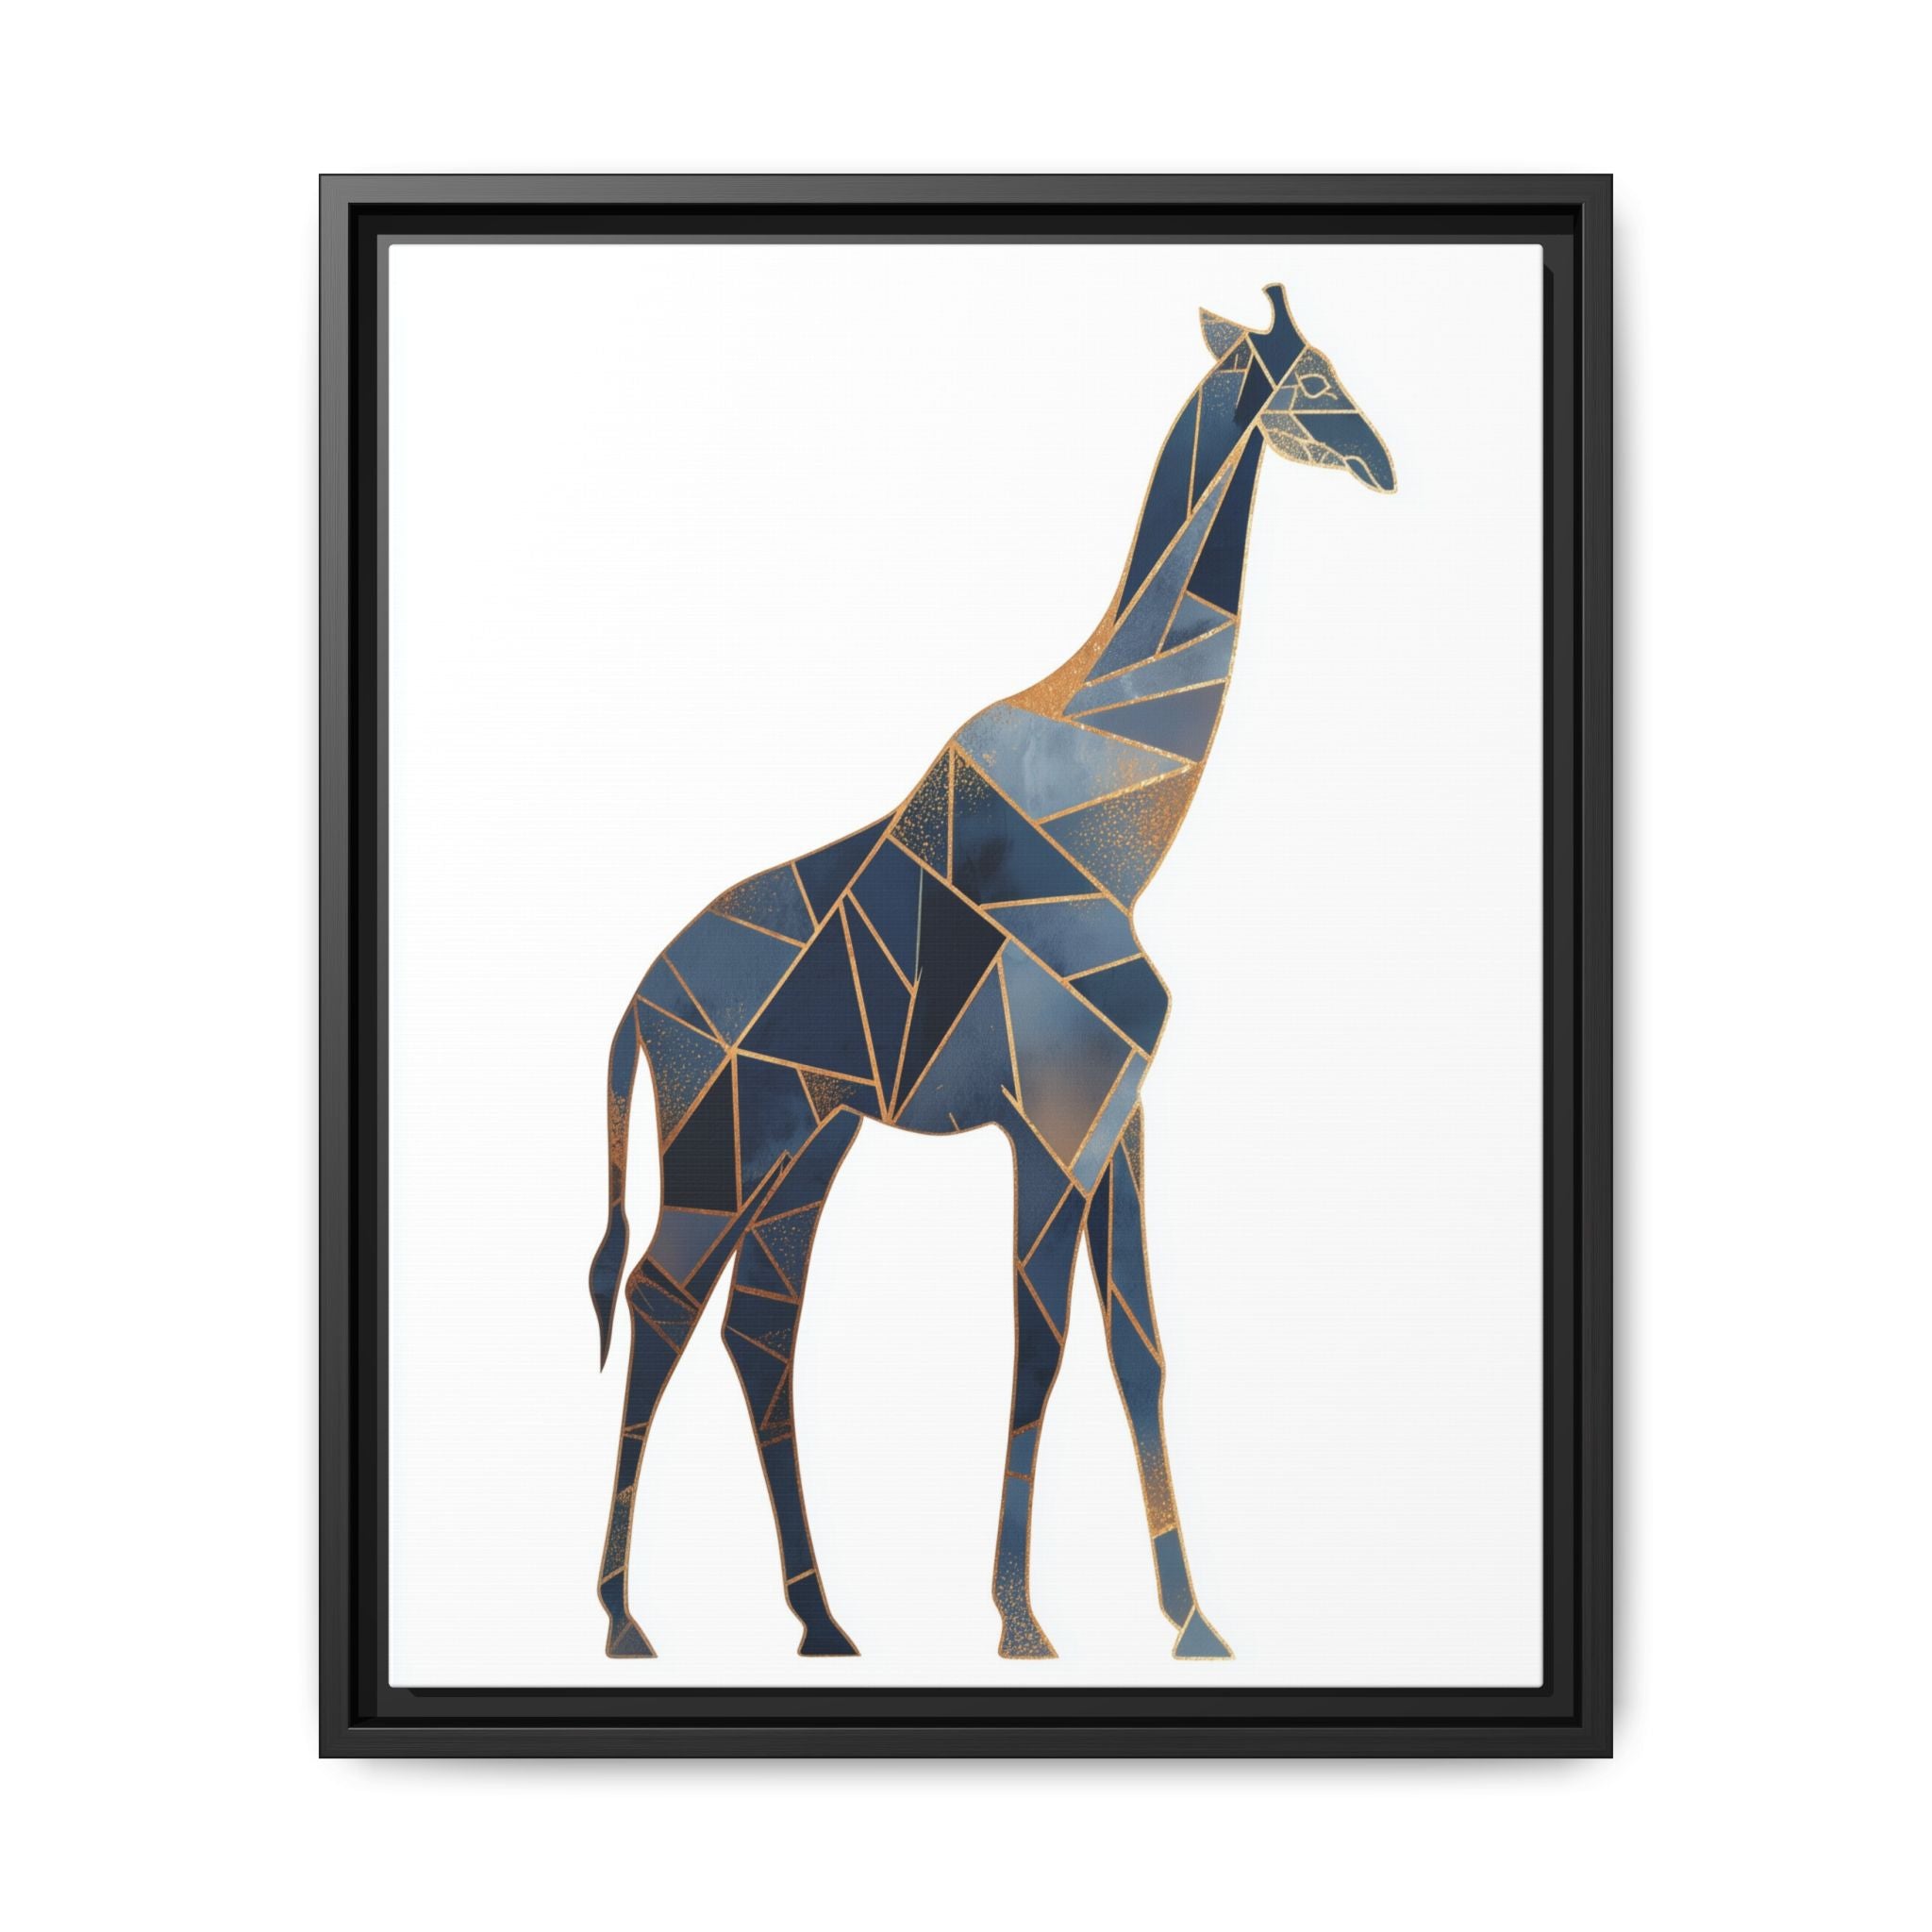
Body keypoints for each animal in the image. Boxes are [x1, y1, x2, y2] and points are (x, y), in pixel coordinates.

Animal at [588, 281, 1396, 1661]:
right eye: (1310, 380)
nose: (1382, 462)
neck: (1119, 822)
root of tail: (638, 1005)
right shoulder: (1052, 1120)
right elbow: (1042, 1345)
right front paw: (1021, 1620)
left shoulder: (1118, 1117)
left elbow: (1139, 1347)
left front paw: (1192, 1621)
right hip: (721, 1144)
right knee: (657, 1304)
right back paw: (623, 1619)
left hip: (806, 1147)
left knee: (758, 1326)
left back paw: (822, 1619)